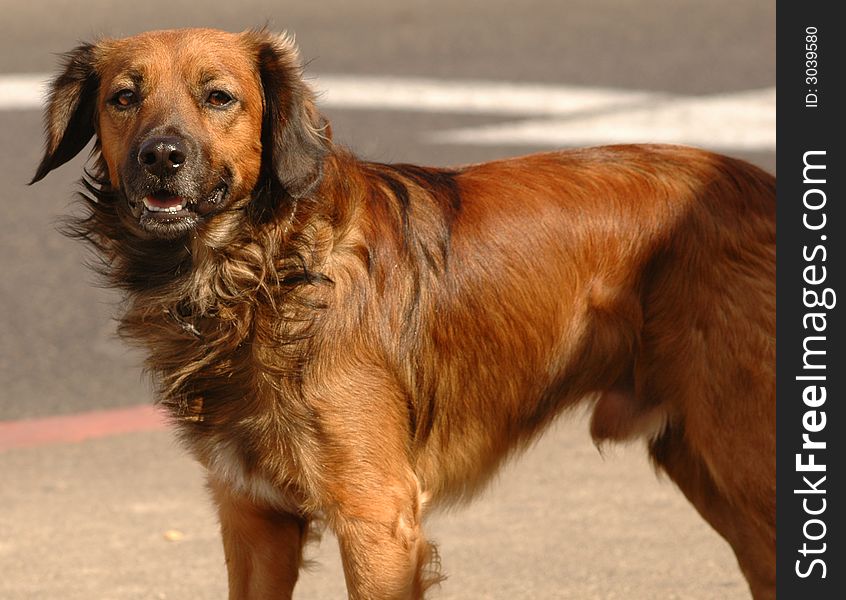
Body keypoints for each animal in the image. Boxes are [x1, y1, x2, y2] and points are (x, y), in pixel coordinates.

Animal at [31, 28, 776, 600]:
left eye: (219, 98)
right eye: (124, 98)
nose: (162, 156)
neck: (266, 269)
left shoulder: (376, 513)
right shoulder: (252, 513)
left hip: (742, 456)